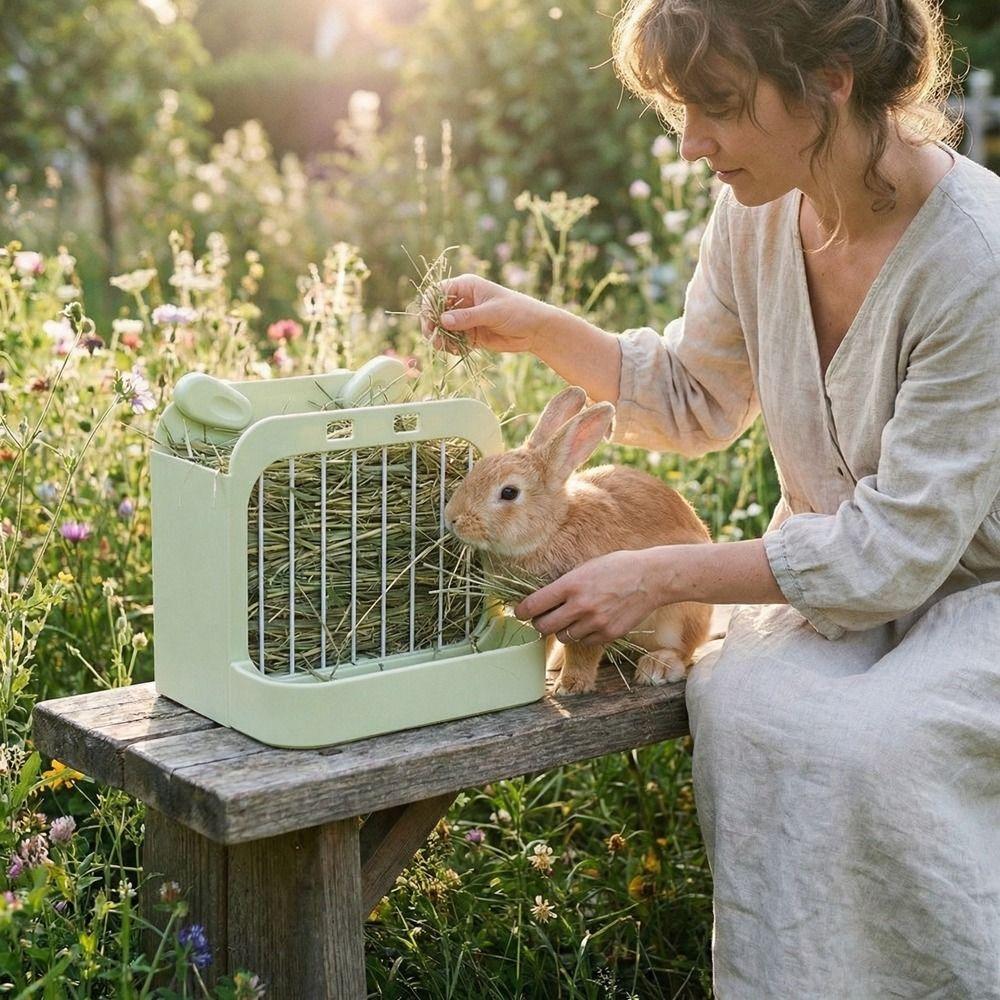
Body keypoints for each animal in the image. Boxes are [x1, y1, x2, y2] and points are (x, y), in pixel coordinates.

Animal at [443, 385, 713, 695]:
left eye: (509, 492)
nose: (452, 518)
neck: (554, 528)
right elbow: (545, 641)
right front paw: (548, 669)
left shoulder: (588, 619)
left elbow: (583, 651)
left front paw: (570, 686)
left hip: (679, 616)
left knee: (684, 650)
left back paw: (658, 668)